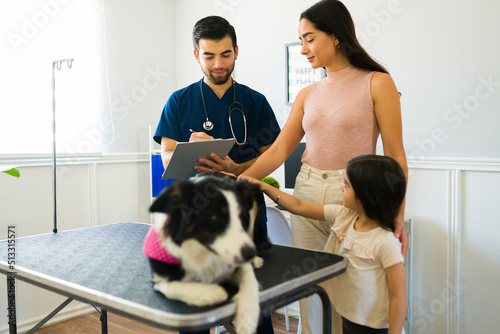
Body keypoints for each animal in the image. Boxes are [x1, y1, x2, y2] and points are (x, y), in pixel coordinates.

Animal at [143, 174, 272, 332]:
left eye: (242, 217)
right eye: (215, 218)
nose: (250, 253)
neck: (202, 251)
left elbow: (249, 279)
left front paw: (247, 318)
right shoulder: (158, 279)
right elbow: (173, 286)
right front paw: (211, 293)